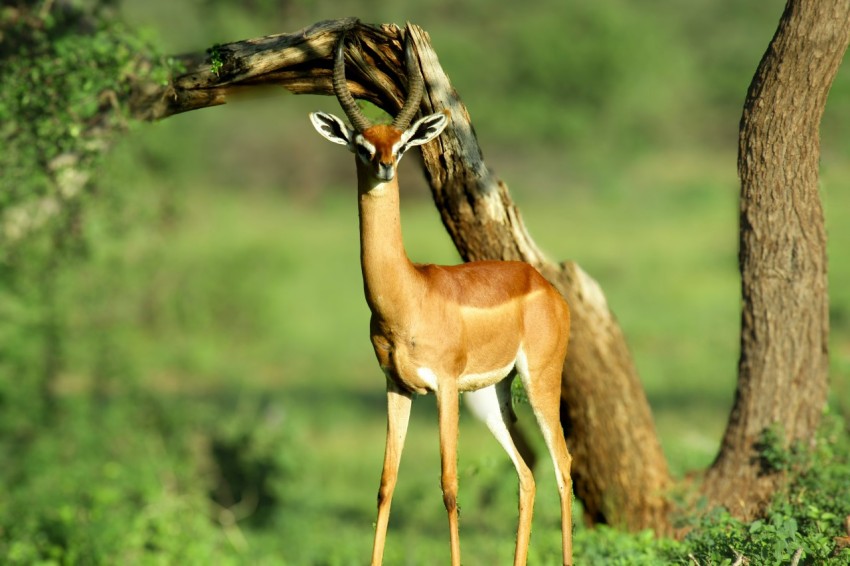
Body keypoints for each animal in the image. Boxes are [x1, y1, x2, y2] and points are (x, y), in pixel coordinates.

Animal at [308, 30, 574, 566]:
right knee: (528, 475)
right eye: (361, 144)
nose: (385, 166)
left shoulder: (445, 387)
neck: (406, 296)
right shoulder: (397, 387)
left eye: (402, 142)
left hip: (538, 383)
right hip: (491, 398)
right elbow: (385, 485)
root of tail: (542, 284)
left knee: (563, 465)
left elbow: (449, 486)